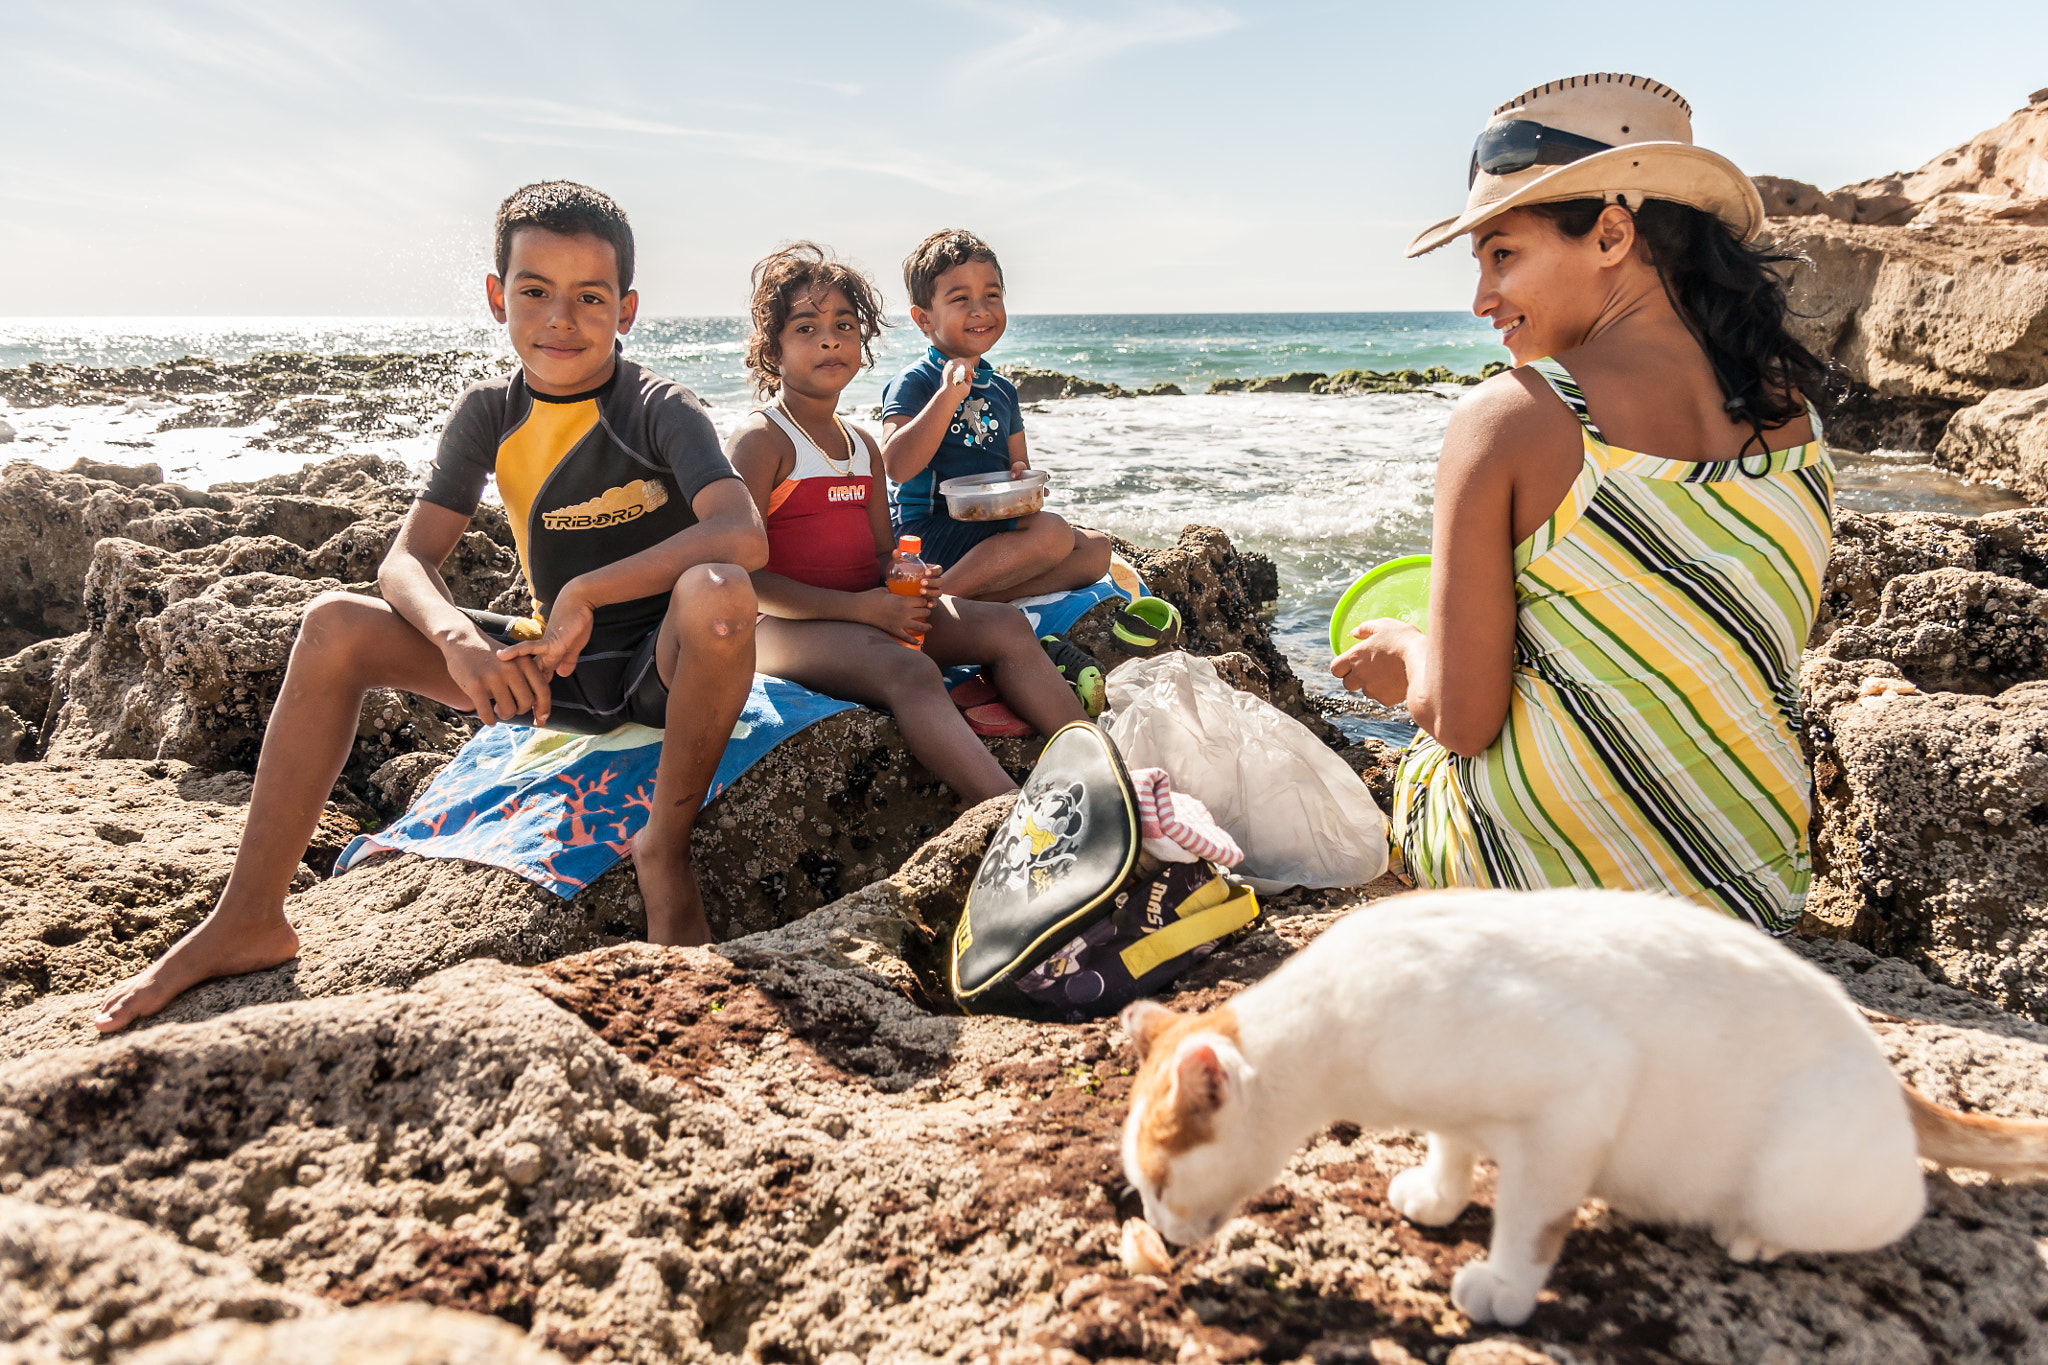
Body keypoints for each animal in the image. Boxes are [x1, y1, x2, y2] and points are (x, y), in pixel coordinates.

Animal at [1122, 888, 2048, 1326]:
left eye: (1161, 1184)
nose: (1158, 1231)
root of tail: (1886, 1069)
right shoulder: (1454, 1105)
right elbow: (1451, 1143)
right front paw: (1439, 1193)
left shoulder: (1578, 1095)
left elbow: (1532, 1219)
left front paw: (1504, 1283)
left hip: (1805, 1177)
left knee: (1896, 1208)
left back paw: (1755, 1234)